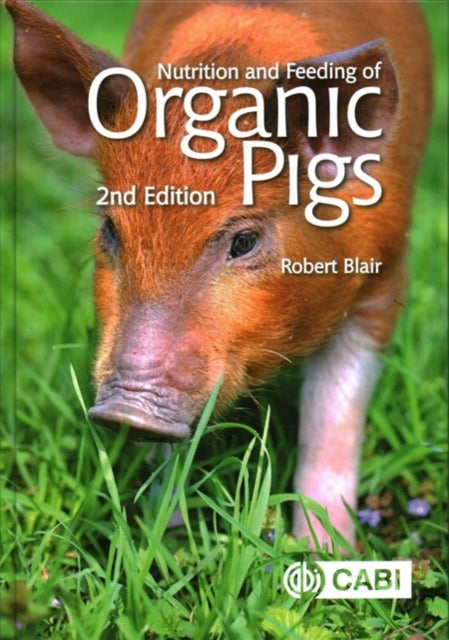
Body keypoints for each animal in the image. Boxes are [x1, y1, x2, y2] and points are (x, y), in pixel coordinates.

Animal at [5, 0, 431, 547]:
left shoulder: (384, 277)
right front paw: (165, 535)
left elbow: (333, 410)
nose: (124, 411)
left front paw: (321, 552)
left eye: (243, 241)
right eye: (110, 228)